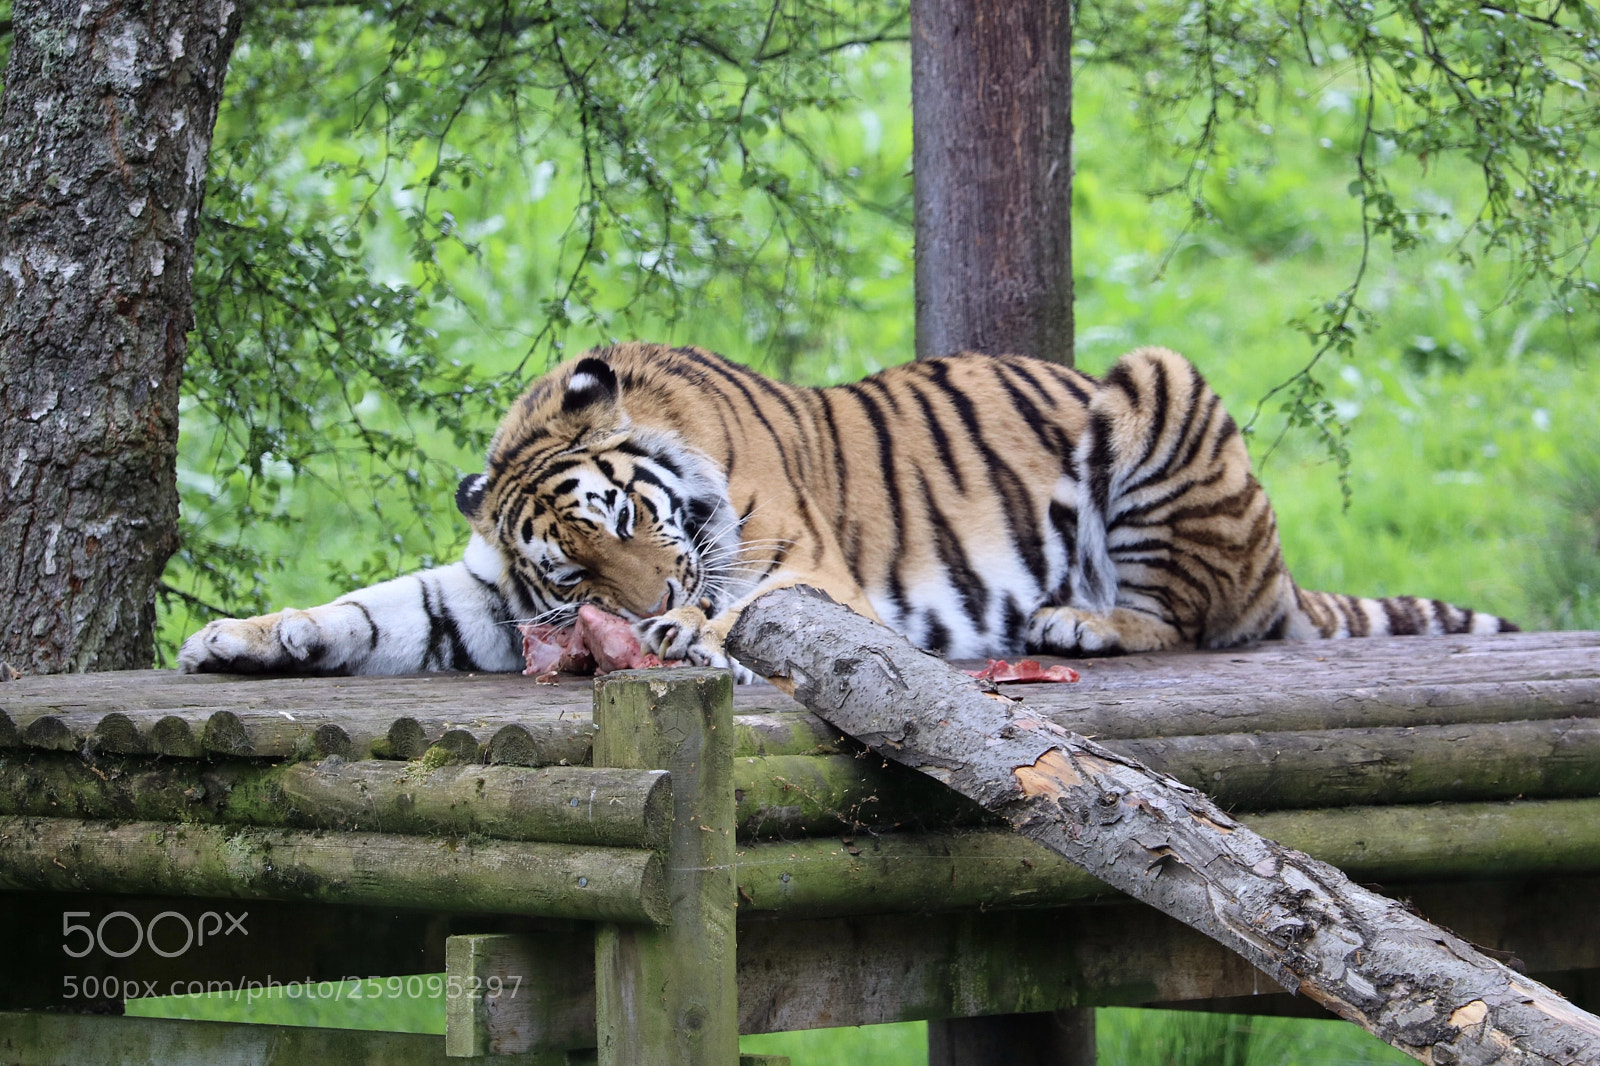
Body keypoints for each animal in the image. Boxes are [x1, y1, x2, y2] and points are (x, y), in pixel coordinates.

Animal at [178, 342, 1516, 681]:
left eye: (629, 523)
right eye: (567, 572)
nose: (645, 603)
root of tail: (1279, 569)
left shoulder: (799, 568)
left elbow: (744, 607)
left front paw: (687, 633)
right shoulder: (484, 597)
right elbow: (375, 607)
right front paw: (243, 638)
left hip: (1157, 380)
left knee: (1186, 620)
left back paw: (1079, 623)